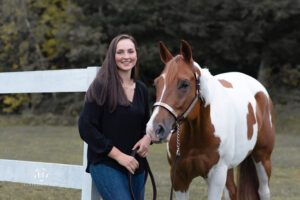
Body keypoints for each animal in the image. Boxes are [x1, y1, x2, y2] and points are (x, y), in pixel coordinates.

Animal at [146, 39, 276, 199]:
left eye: (184, 84)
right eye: (156, 83)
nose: (154, 129)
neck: (197, 134)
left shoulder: (216, 177)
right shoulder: (179, 179)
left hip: (262, 158)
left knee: (263, 191)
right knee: (232, 192)